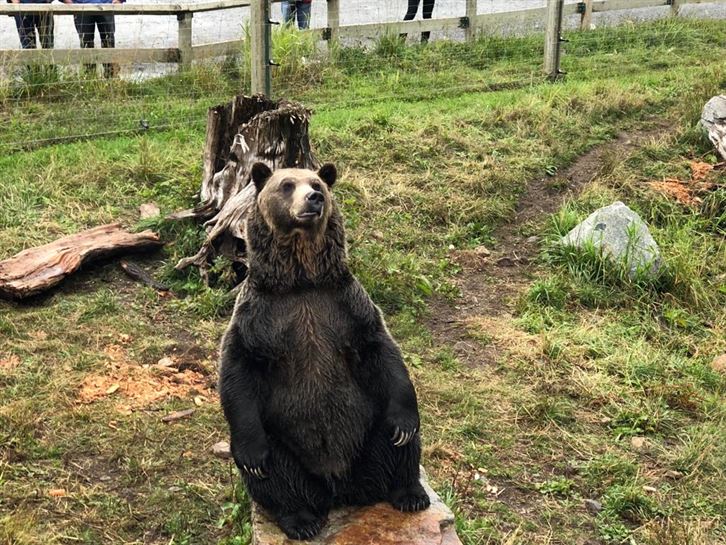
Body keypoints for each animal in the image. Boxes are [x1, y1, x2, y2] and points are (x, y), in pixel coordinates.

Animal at [219, 162, 430, 540]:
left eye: (317, 184)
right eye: (287, 185)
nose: (314, 199)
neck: (302, 280)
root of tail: (339, 490)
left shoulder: (344, 305)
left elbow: (382, 350)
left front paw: (405, 423)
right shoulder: (260, 316)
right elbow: (237, 368)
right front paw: (253, 457)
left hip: (369, 437)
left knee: (396, 444)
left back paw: (409, 493)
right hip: (287, 445)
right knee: (279, 474)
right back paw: (300, 518)